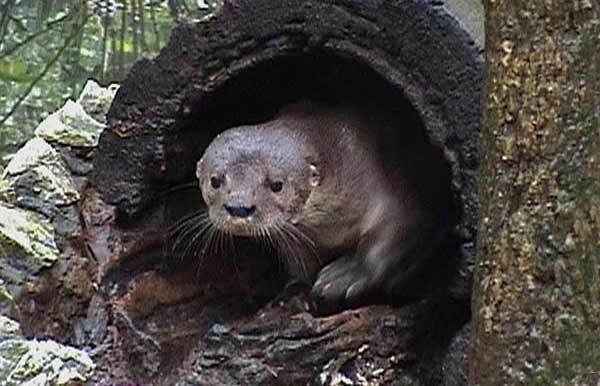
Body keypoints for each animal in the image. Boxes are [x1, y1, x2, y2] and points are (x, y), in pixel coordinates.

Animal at [195, 102, 452, 304]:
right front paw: (293, 290)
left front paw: (347, 274)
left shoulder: (396, 200)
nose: (238, 207)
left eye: (277, 184)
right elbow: (298, 262)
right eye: (215, 181)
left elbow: (387, 239)